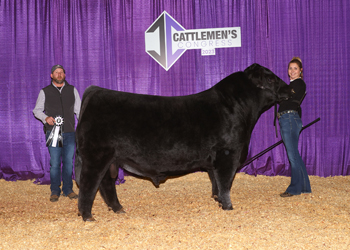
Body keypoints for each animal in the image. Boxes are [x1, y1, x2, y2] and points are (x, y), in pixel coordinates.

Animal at [75, 64, 294, 221]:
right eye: (270, 78)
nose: (291, 90)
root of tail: (95, 91)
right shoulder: (228, 153)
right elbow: (225, 182)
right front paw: (228, 207)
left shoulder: (215, 160)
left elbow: (215, 181)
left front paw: (217, 200)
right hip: (96, 156)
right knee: (88, 184)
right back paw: (87, 216)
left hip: (110, 159)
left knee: (105, 184)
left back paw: (118, 209)